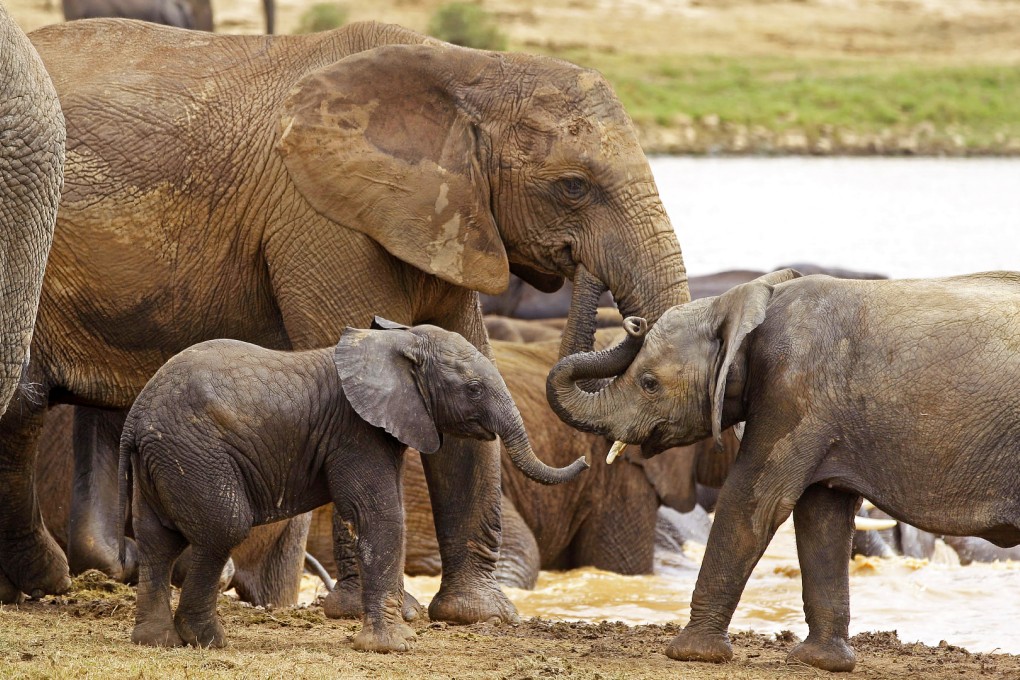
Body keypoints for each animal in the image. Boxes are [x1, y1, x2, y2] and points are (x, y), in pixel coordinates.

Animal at [120, 318, 587, 648]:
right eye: (473, 389)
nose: (585, 459)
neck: (394, 344)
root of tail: (136, 415)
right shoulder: (355, 431)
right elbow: (378, 515)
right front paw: (392, 646)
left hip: (164, 460)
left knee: (156, 539)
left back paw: (158, 641)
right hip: (193, 453)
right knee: (224, 528)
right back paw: (207, 640)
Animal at [550, 271, 1020, 676]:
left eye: (649, 383)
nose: (634, 322)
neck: (746, 301)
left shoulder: (794, 391)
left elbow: (754, 499)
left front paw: (689, 654)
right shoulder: (817, 409)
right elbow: (821, 515)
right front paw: (820, 663)